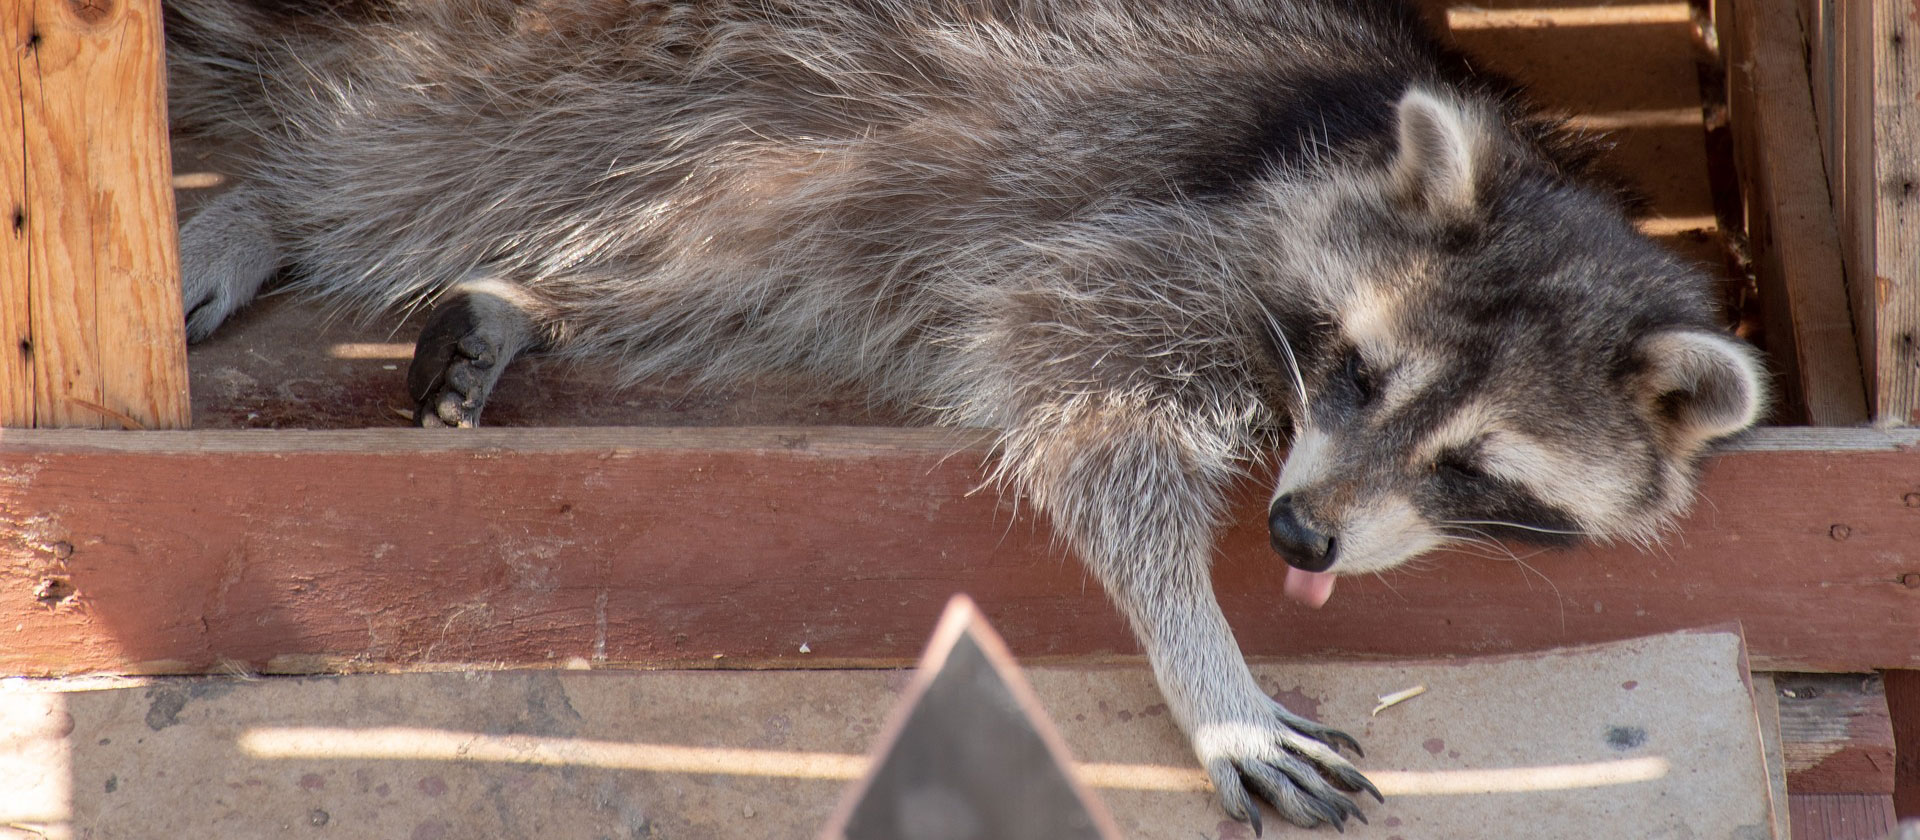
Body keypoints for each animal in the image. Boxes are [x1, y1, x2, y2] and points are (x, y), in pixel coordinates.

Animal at [168, 0, 1766, 828]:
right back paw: (267, 202)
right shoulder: (1195, 233)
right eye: (1362, 374)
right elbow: (1072, 389)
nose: (1303, 533)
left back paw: (526, 296)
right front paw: (1205, 660)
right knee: (416, 147)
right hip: (602, 69)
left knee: (713, 268)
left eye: (1475, 464)